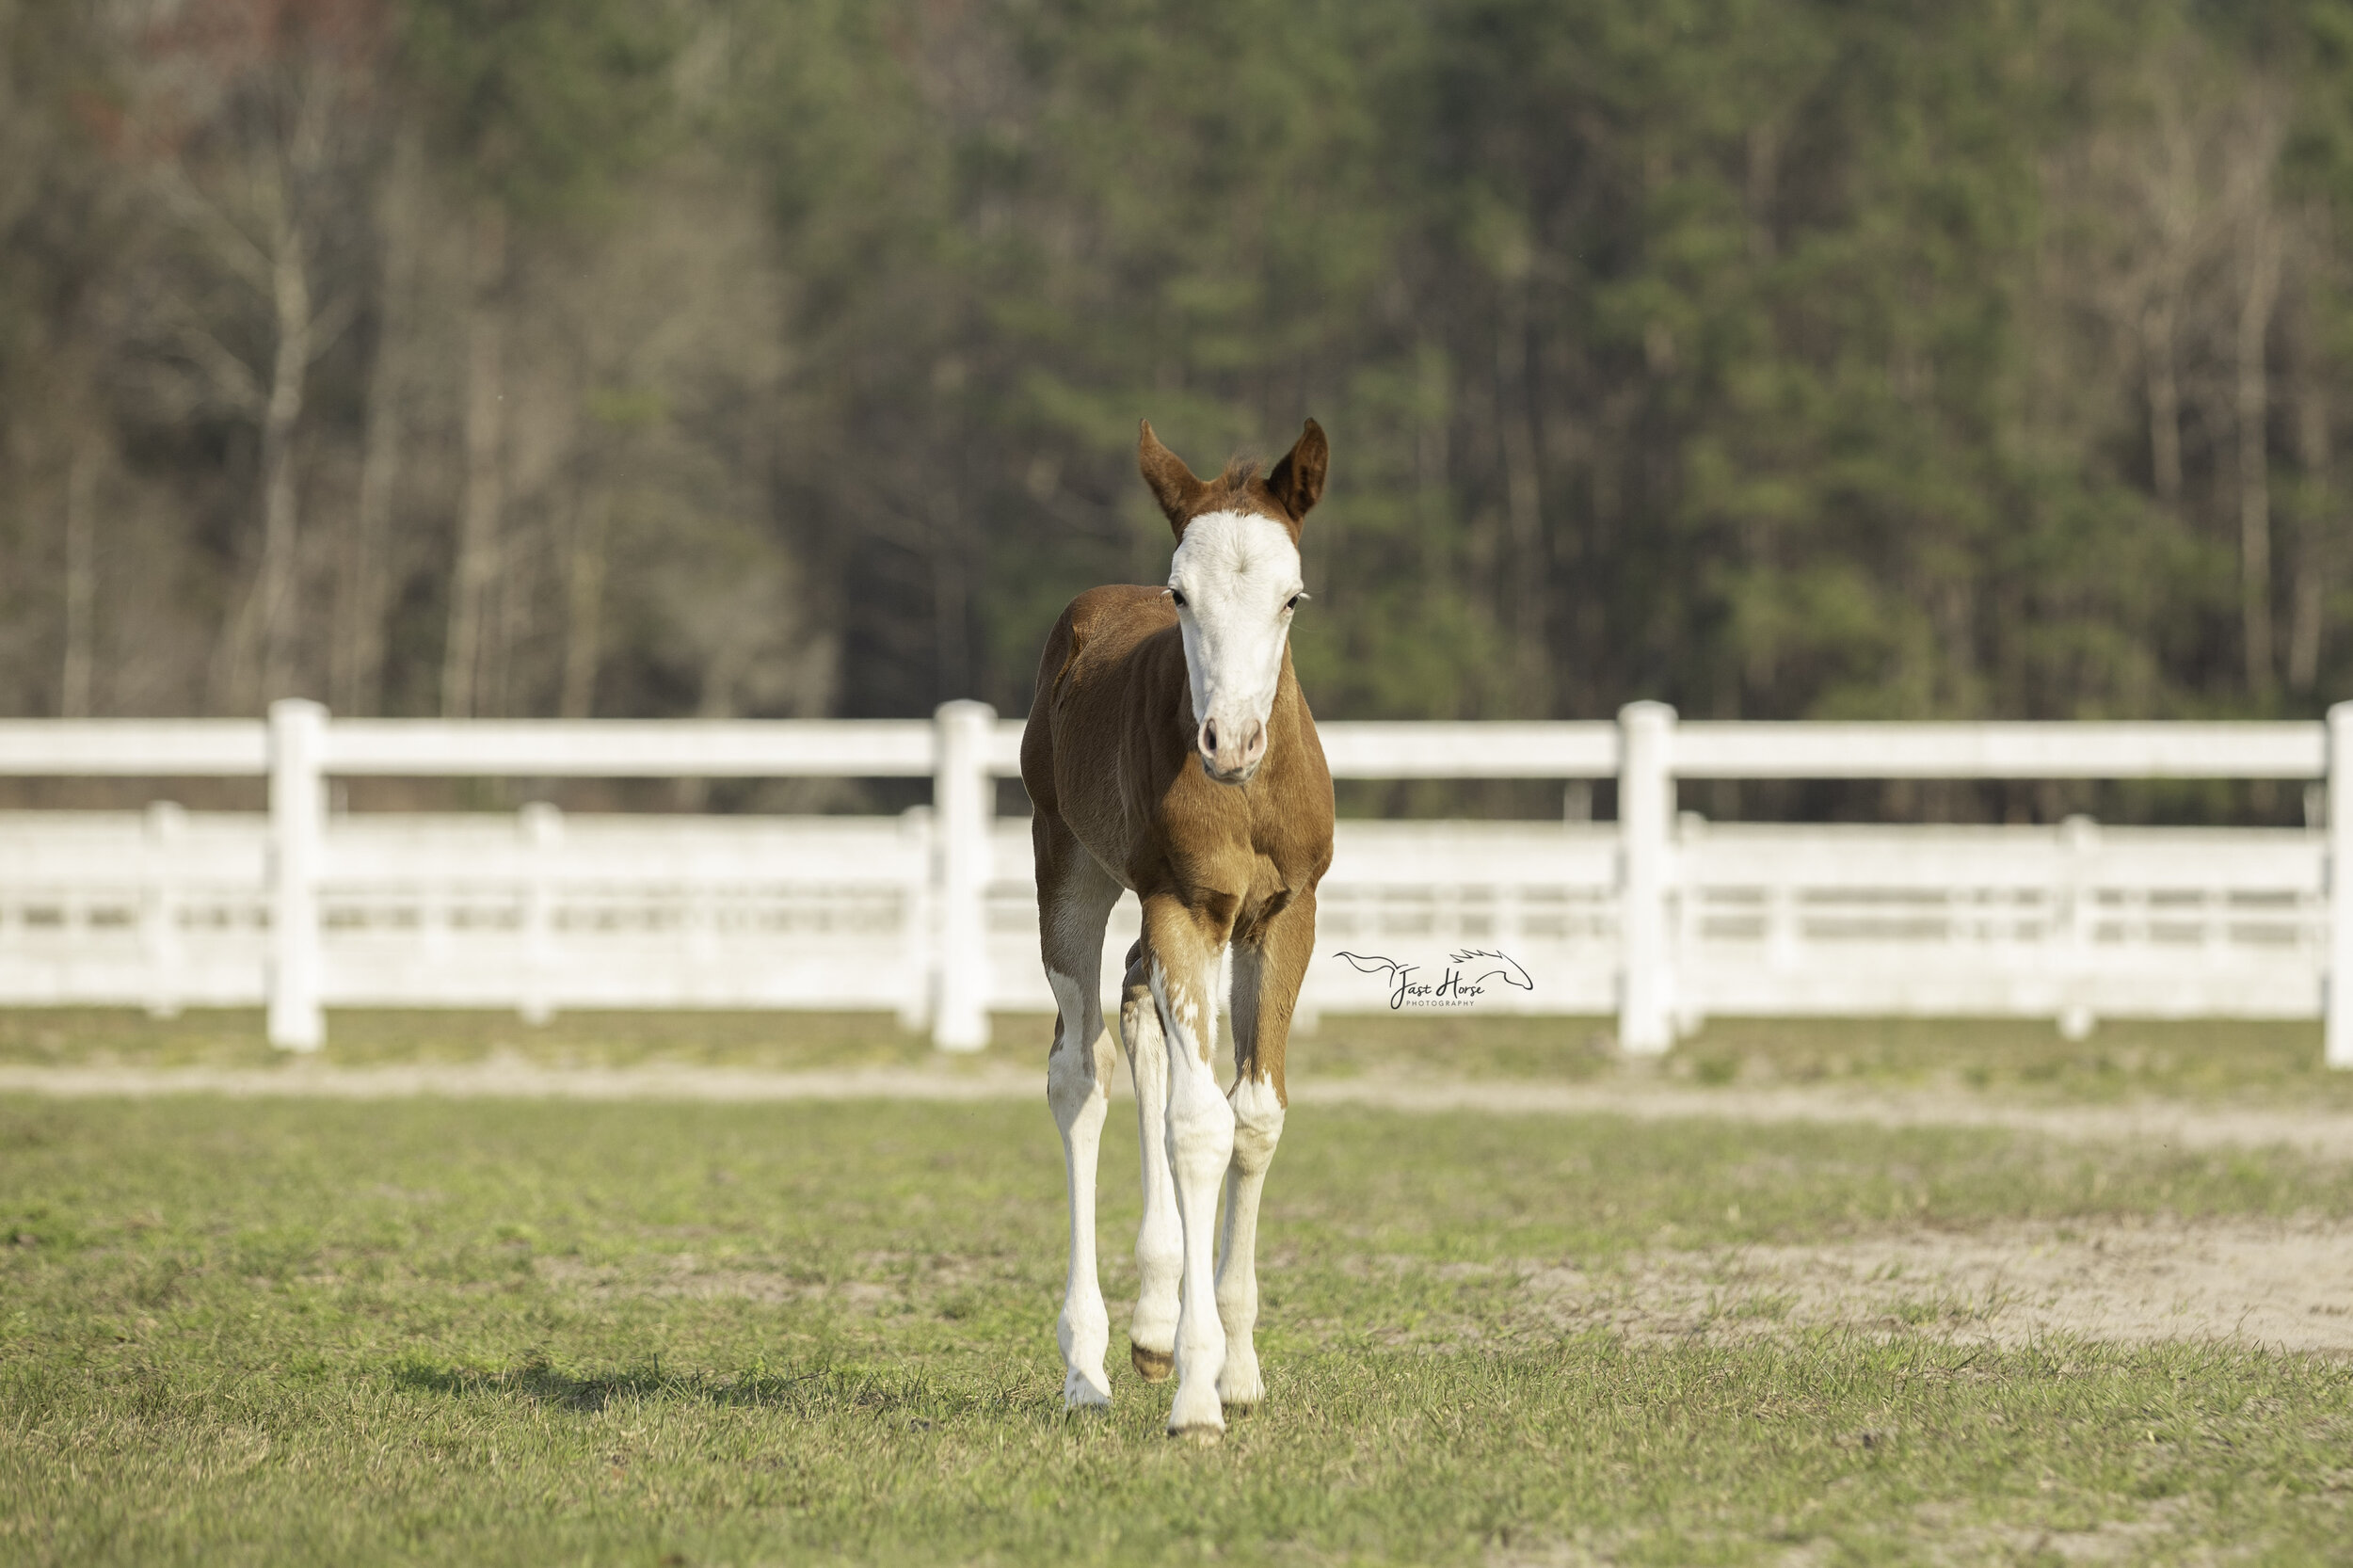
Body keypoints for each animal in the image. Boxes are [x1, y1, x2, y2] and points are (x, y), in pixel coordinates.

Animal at [1016, 421, 1337, 1431]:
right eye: (1181, 594)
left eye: (1292, 597)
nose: (1228, 742)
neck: (1244, 794)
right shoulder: (1184, 905)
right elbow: (1200, 1126)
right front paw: (1199, 1395)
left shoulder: (1285, 915)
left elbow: (1254, 1116)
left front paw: (1237, 1366)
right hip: (1068, 866)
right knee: (1080, 1073)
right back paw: (1088, 1367)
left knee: (1137, 1020)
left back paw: (1153, 1324)